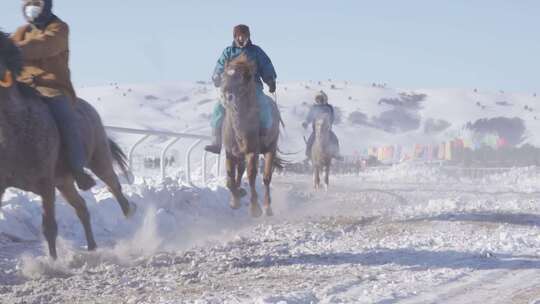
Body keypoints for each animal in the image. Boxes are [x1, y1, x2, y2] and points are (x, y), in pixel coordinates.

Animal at [0, 30, 137, 258]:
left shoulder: (46, 184)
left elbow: (49, 227)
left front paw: (53, 261)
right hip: (64, 181)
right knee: (81, 207)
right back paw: (92, 247)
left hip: (98, 161)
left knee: (113, 186)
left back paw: (129, 211)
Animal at [219, 54, 282, 216]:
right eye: (223, 75)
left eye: (243, 77)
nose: (227, 95)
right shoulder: (230, 152)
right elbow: (229, 178)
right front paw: (235, 200)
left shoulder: (252, 151)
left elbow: (252, 175)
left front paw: (255, 208)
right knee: (240, 171)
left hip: (270, 149)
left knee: (266, 178)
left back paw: (267, 207)